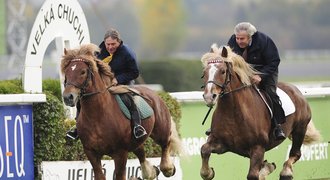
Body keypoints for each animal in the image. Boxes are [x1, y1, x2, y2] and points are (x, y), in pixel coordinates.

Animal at [60, 43, 182, 180]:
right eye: (67, 71)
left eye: (82, 72)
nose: (68, 97)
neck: (97, 116)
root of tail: (155, 94)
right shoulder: (91, 153)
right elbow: (99, 175)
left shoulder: (120, 153)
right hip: (136, 142)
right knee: (141, 152)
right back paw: (150, 172)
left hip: (161, 131)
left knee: (165, 143)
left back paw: (167, 168)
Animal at [199, 44, 320, 180]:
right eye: (204, 73)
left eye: (223, 71)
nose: (209, 97)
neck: (234, 113)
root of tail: (297, 90)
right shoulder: (221, 143)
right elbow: (204, 150)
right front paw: (208, 172)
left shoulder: (258, 147)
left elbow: (252, 175)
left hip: (300, 129)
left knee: (296, 154)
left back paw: (286, 172)